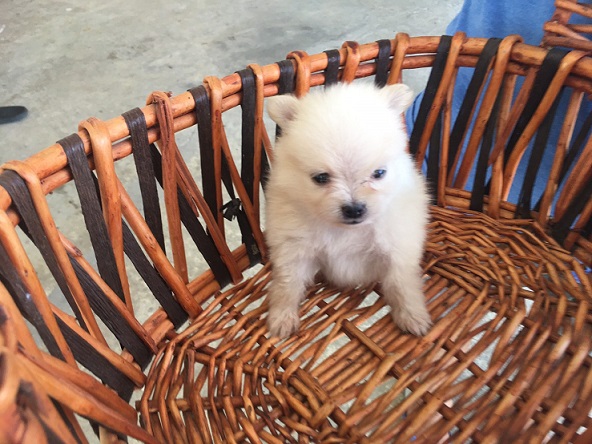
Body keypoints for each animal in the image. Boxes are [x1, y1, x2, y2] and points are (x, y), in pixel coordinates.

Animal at [264, 82, 431, 338]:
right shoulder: (295, 249)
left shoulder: (397, 249)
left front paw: (412, 316)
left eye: (378, 173)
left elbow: (401, 284)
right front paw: (282, 317)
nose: (354, 209)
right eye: (321, 178)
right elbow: (287, 283)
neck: (345, 231)